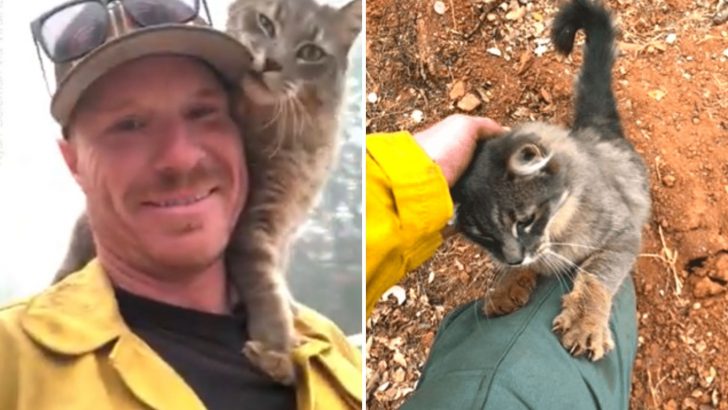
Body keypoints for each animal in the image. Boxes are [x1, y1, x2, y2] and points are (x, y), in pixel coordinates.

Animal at [452, 0, 652, 360]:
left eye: (525, 220)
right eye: (482, 235)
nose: (513, 258)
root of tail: (595, 126)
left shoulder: (623, 234)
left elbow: (596, 274)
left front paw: (585, 322)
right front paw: (506, 287)